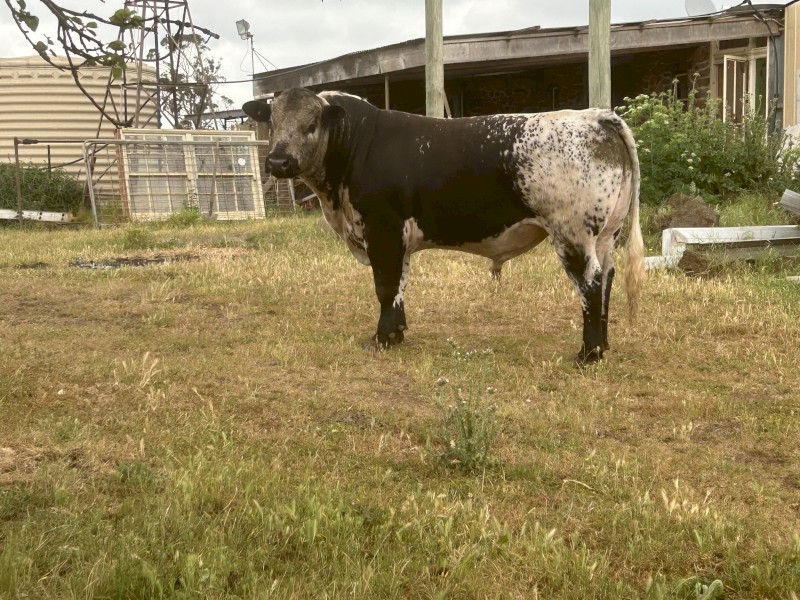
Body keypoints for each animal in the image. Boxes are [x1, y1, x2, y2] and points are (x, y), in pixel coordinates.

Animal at [243, 88, 645, 364]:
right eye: (272, 123)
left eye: (311, 125)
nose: (278, 161)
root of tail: (595, 116)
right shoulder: (398, 238)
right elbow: (399, 285)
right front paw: (398, 332)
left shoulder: (383, 229)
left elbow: (385, 285)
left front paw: (382, 338)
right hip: (607, 236)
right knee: (606, 280)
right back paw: (603, 345)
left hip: (572, 235)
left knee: (590, 284)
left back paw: (588, 354)